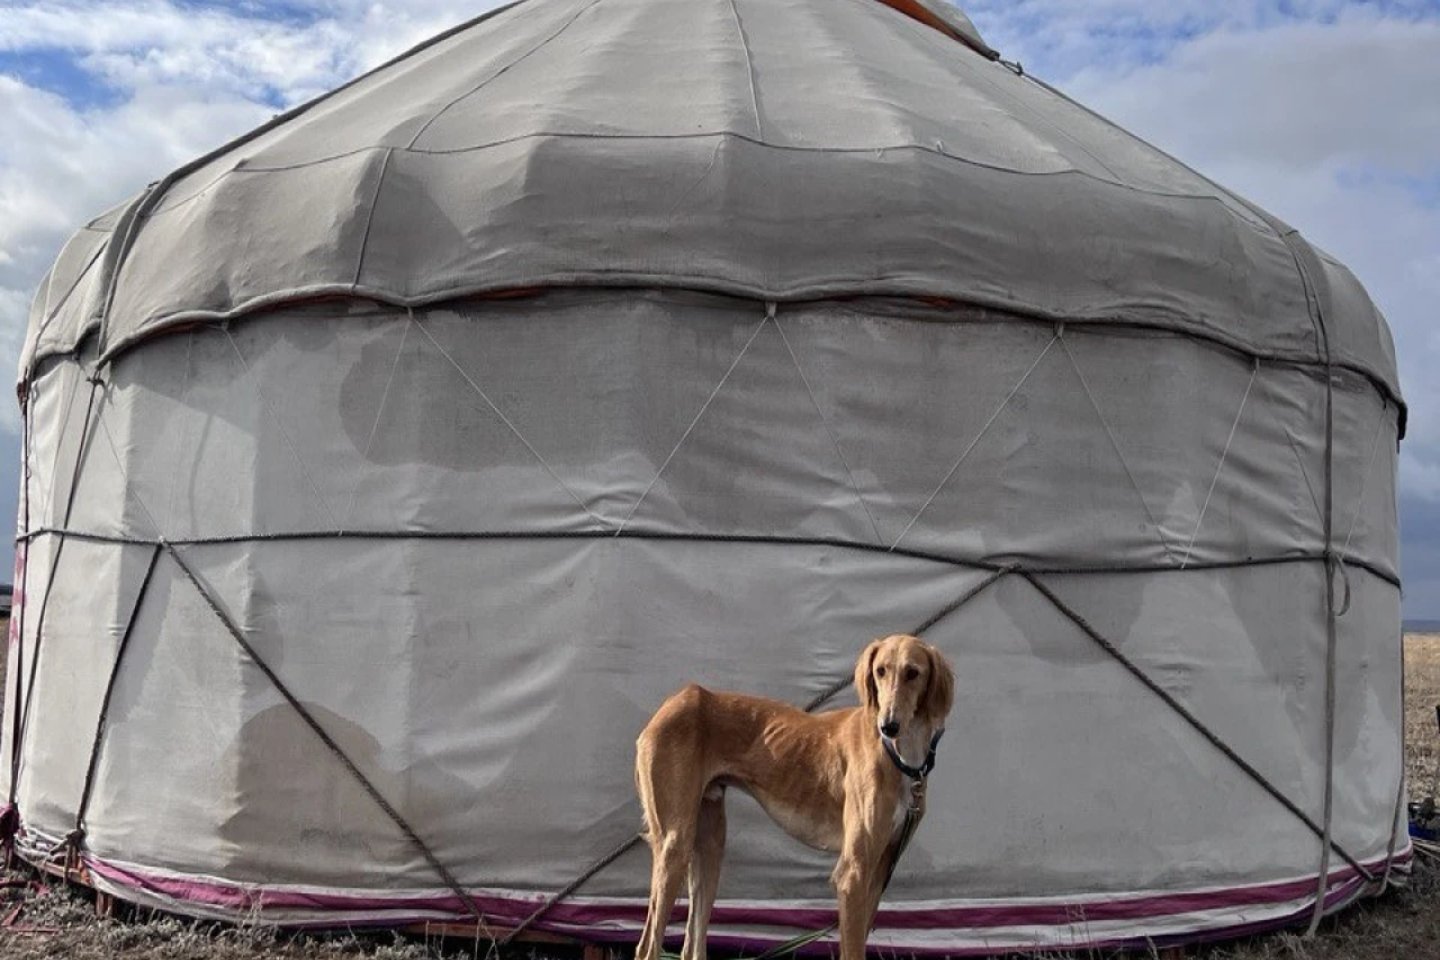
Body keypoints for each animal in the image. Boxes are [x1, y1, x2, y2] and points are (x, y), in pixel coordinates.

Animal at [633, 633, 950, 960]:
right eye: (880, 671)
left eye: (913, 672)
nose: (888, 725)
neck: (898, 755)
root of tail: (674, 701)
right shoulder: (853, 874)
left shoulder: (879, 872)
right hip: (675, 843)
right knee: (646, 947)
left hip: (709, 843)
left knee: (691, 947)